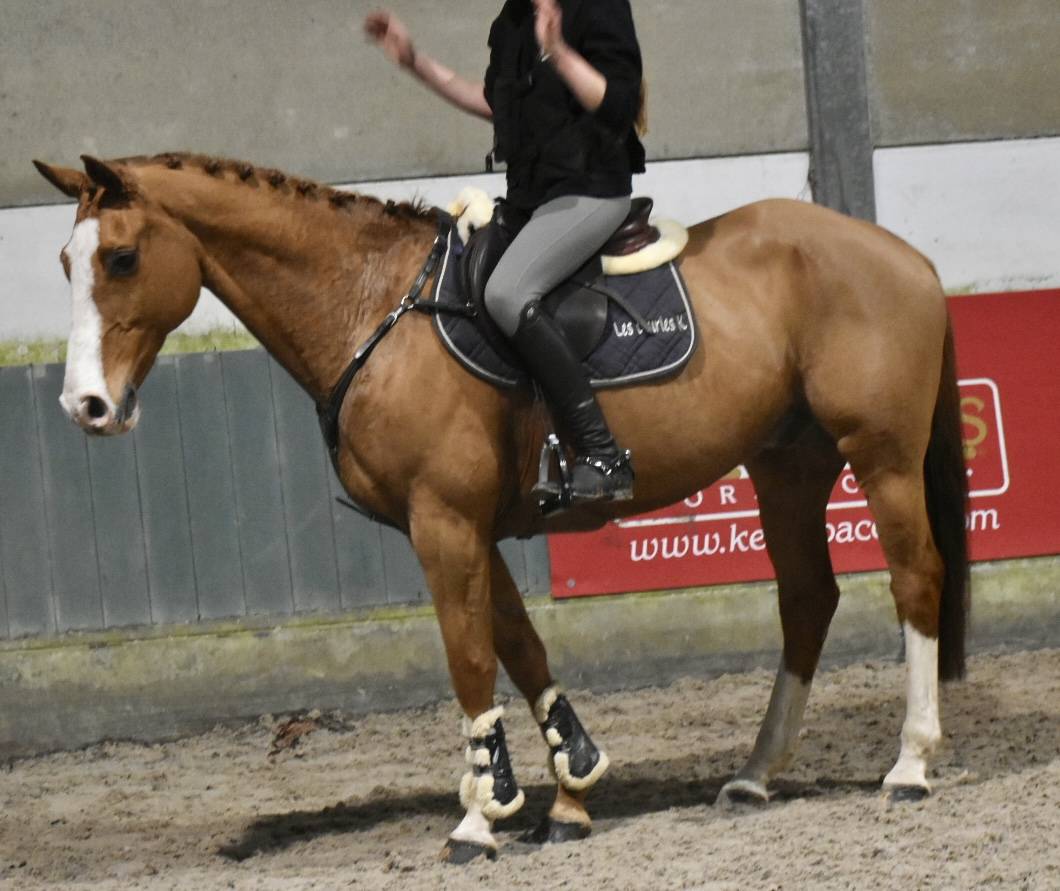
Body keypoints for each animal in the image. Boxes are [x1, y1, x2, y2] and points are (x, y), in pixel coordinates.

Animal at [33, 152, 968, 862]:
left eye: (122, 259)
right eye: (65, 265)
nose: (85, 406)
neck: (373, 308)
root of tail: (906, 256)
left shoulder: (442, 522)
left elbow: (471, 658)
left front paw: (481, 817)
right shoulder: (469, 526)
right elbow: (521, 648)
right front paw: (572, 788)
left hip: (881, 456)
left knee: (915, 579)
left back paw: (910, 765)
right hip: (786, 466)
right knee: (808, 598)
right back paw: (754, 774)